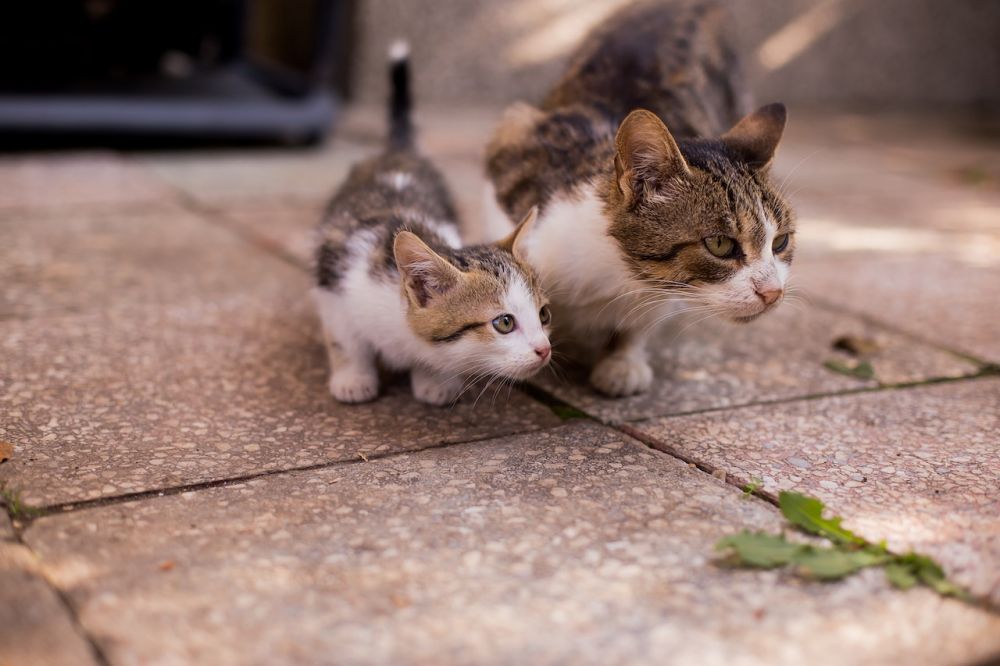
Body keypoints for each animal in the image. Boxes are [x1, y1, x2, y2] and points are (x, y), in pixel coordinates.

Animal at [314, 44, 556, 404]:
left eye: (543, 315)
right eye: (504, 323)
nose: (544, 349)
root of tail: (398, 152)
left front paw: (435, 380)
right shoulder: (334, 280)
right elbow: (345, 339)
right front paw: (353, 378)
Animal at [484, 0, 796, 394]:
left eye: (781, 241)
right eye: (720, 244)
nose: (773, 293)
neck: (615, 274)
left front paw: (623, 359)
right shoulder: (515, 142)